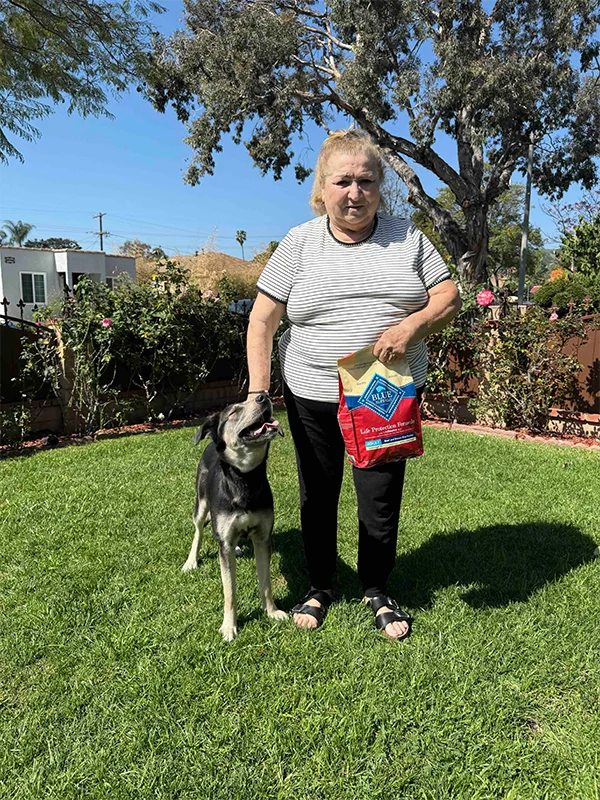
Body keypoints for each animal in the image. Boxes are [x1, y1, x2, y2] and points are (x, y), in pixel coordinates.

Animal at [182, 393, 287, 641]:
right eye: (233, 412)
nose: (264, 396)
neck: (246, 478)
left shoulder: (262, 538)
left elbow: (266, 583)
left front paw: (272, 612)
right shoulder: (225, 546)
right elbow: (229, 591)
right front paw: (229, 626)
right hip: (201, 503)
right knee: (198, 530)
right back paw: (191, 561)